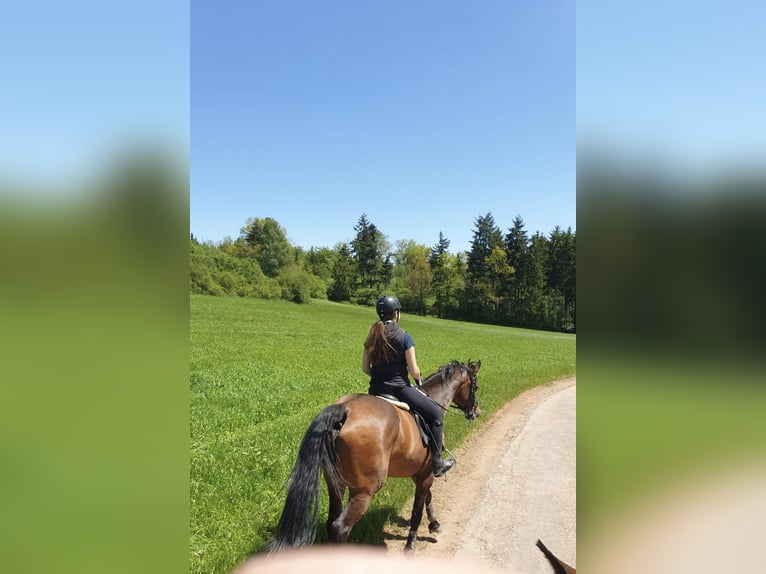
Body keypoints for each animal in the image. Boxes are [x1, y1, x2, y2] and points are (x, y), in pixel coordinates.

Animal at [264, 360, 480, 552]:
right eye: (475, 386)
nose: (476, 412)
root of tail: (345, 409)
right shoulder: (426, 473)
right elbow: (417, 509)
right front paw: (411, 544)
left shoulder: (419, 473)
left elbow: (428, 498)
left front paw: (434, 524)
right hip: (365, 490)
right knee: (340, 527)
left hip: (336, 483)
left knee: (332, 521)